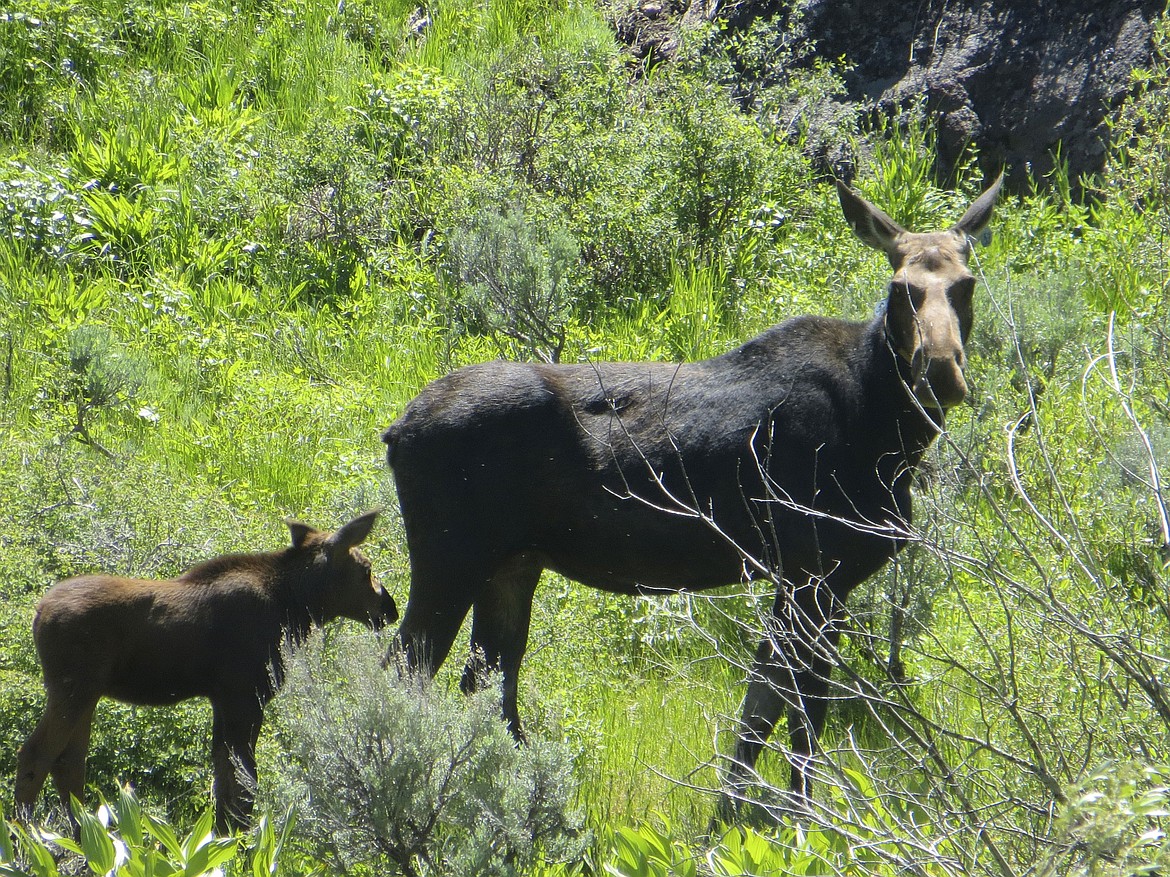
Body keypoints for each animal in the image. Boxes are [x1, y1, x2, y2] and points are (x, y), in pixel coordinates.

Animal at [14, 512, 397, 832]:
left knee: (69, 761)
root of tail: (37, 612)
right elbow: (244, 781)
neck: (295, 608)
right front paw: (239, 842)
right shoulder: (245, 696)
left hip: (87, 692)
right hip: (72, 688)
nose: (389, 607)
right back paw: (23, 840)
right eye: (366, 569)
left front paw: (222, 836)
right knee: (36, 753)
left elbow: (224, 778)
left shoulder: (223, 699)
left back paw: (83, 837)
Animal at [383, 175, 1006, 813]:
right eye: (902, 288)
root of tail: (397, 431)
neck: (889, 434)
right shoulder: (818, 574)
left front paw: (731, 816)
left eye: (966, 284)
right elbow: (802, 723)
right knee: (403, 673)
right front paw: (797, 821)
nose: (941, 370)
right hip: (450, 557)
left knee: (487, 686)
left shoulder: (798, 579)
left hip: (511, 564)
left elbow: (760, 713)